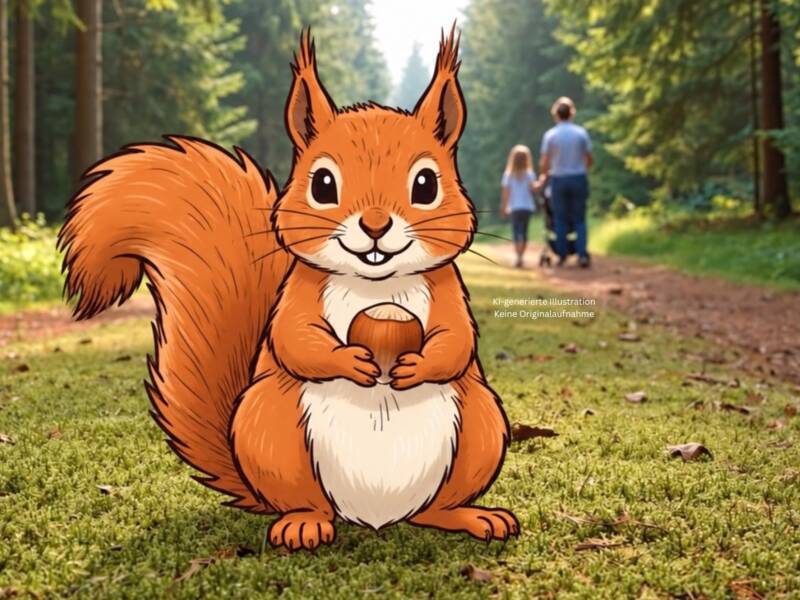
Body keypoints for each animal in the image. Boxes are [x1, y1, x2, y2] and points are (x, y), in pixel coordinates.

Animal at [58, 27, 518, 551]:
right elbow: (295, 339)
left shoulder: (447, 289)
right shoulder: (299, 291)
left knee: (435, 508)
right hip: (270, 431)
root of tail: (374, 517)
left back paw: (472, 516)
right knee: (307, 501)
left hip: (483, 428)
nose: (375, 226)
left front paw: (416, 366)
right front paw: (351, 362)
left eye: (425, 185)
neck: (376, 285)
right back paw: (303, 523)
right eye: (322, 184)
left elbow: (456, 341)